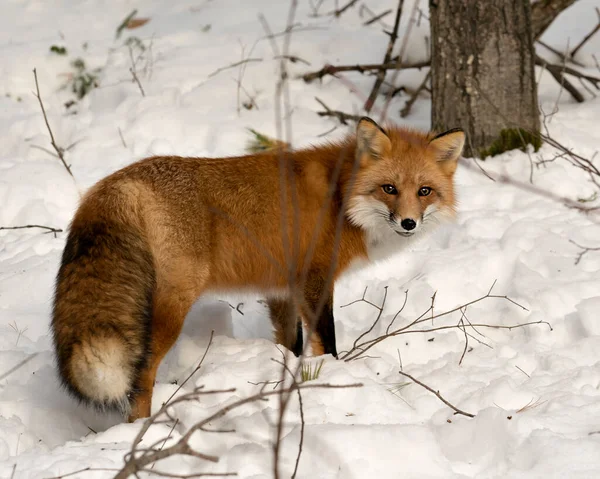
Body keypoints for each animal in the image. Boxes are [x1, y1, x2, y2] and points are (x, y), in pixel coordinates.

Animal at [51, 118, 464, 422]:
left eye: (424, 191)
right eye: (389, 188)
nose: (409, 223)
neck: (340, 198)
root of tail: (115, 183)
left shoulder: (282, 289)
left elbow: (292, 345)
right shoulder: (314, 280)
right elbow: (326, 344)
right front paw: (331, 377)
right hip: (173, 306)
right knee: (141, 376)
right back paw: (140, 431)